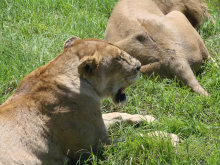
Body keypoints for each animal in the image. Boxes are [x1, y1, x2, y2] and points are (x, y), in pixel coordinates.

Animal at [0, 36, 144, 164]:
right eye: (119, 57)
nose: (139, 66)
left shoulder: (98, 125)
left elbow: (117, 115)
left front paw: (146, 118)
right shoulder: (95, 148)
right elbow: (134, 139)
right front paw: (150, 134)